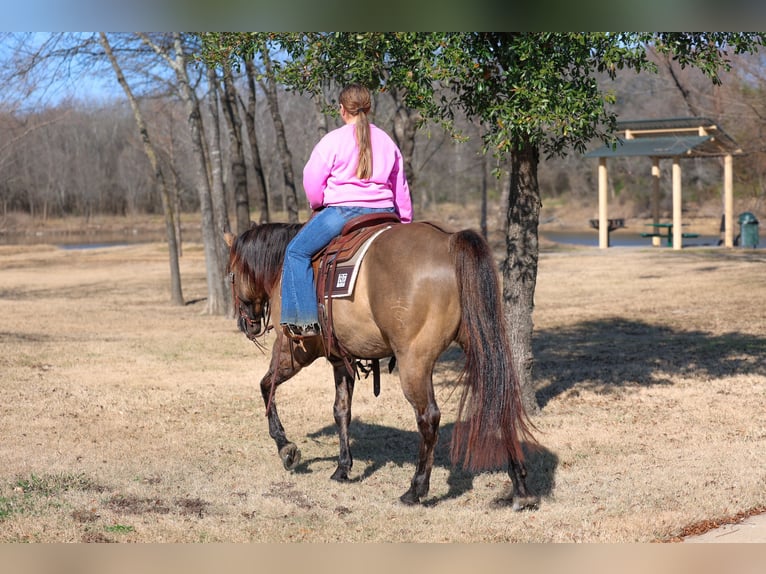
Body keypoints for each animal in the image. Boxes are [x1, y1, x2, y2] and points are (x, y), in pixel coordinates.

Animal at [224, 220, 539, 509]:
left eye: (231, 275)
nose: (245, 324)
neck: (282, 268)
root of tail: (449, 243)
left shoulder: (293, 351)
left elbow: (266, 386)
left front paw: (286, 448)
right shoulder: (341, 360)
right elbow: (341, 411)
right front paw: (342, 468)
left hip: (414, 362)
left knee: (429, 418)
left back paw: (415, 490)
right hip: (479, 344)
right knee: (497, 401)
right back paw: (521, 488)